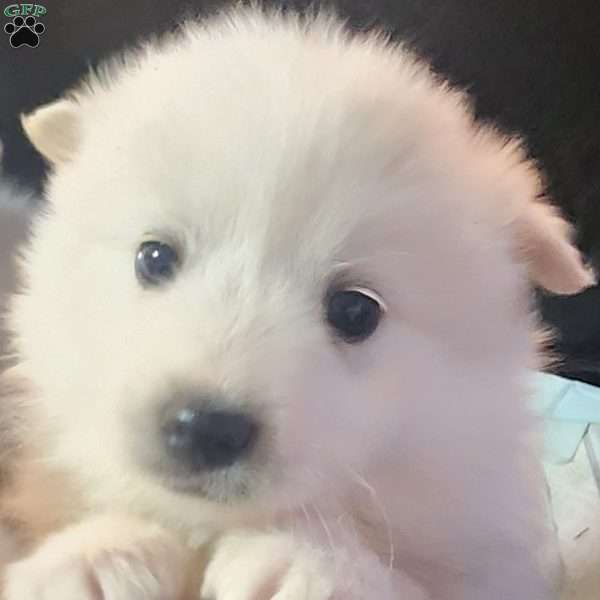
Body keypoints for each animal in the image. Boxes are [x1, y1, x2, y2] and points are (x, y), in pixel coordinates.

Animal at [0, 5, 592, 600]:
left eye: (355, 311)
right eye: (154, 257)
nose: (204, 427)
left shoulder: (493, 552)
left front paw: (307, 559)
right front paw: (95, 559)